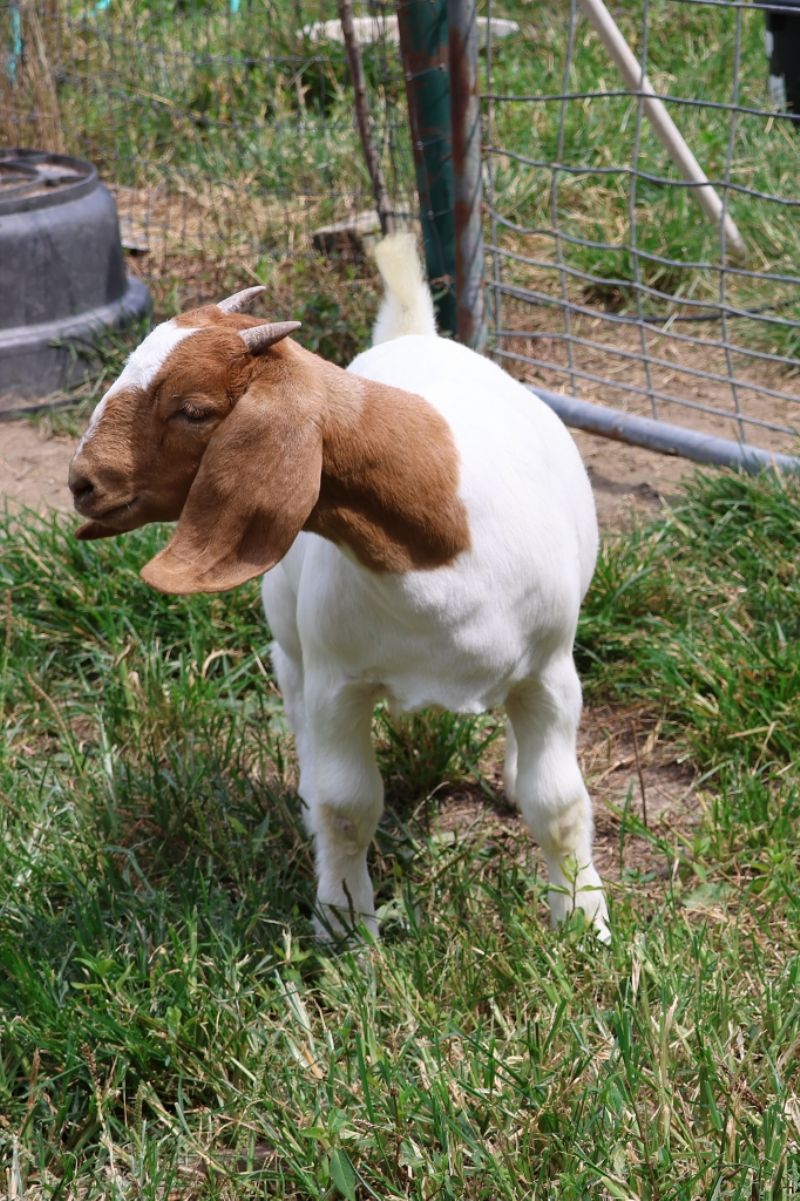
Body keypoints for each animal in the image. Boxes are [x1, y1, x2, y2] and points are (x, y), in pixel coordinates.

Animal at [69, 234, 610, 944]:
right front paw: (345, 925)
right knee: (297, 704)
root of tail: (414, 334)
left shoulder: (549, 671)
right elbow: (347, 805)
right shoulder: (339, 683)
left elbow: (560, 804)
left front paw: (584, 922)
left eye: (193, 410)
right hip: (289, 634)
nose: (82, 482)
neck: (440, 546)